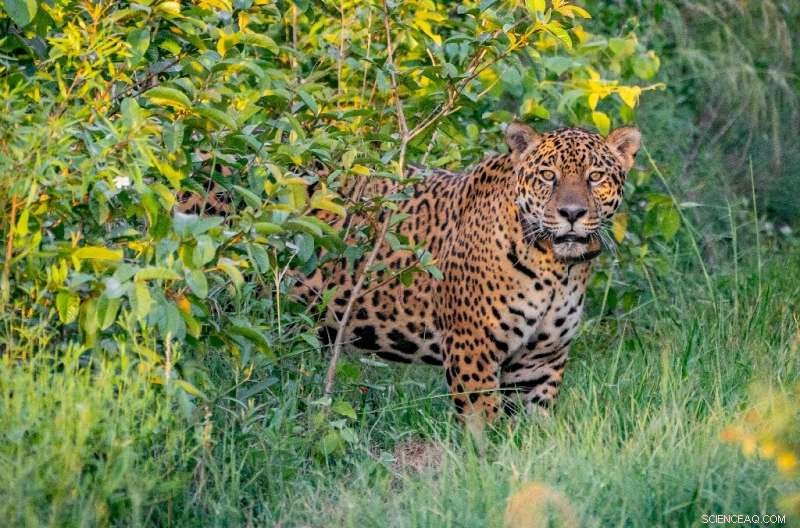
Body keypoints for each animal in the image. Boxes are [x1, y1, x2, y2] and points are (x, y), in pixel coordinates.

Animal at [303, 121, 641, 421]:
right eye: (548, 175)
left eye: (595, 177)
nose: (571, 213)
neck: (557, 269)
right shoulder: (472, 346)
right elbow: (484, 421)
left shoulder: (540, 360)